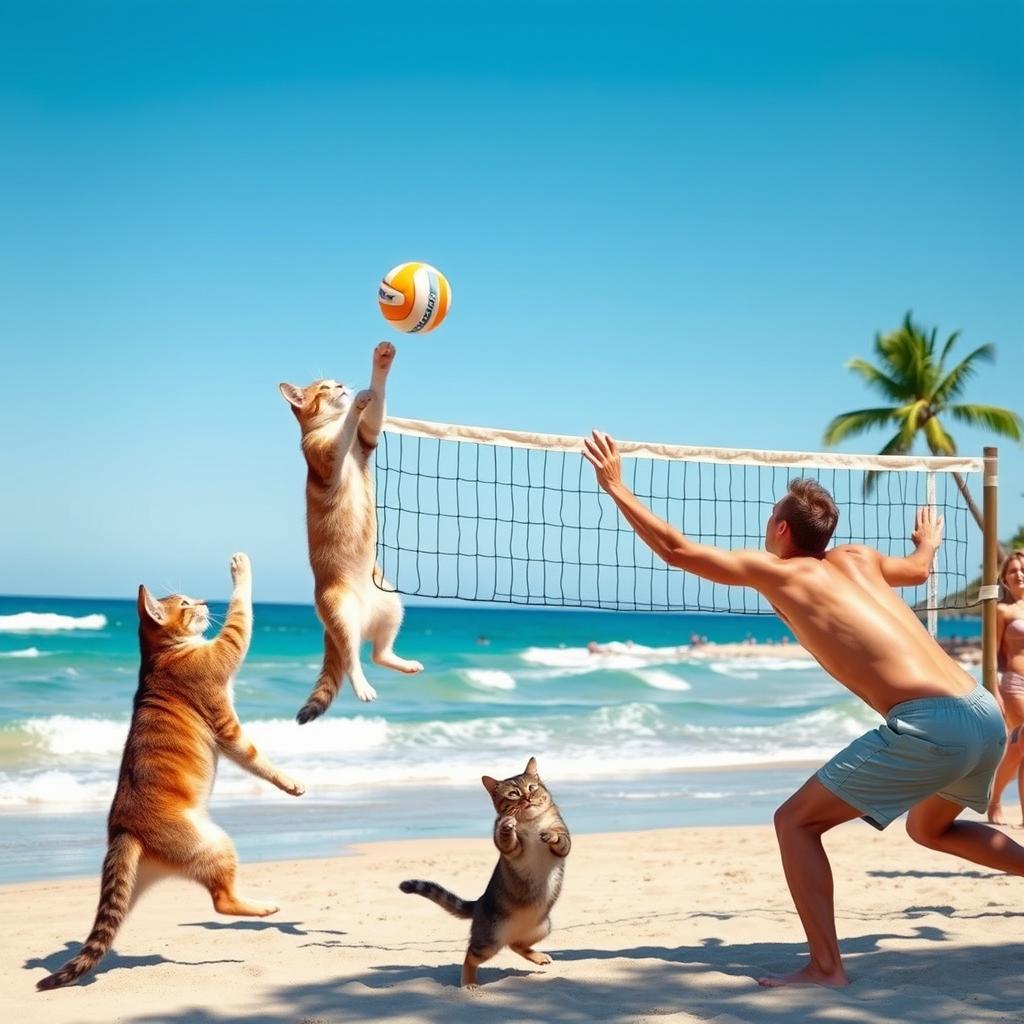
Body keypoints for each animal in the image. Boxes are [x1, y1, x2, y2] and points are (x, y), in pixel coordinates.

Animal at [33, 552, 303, 991]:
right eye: (187, 605)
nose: (205, 600)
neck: (163, 654)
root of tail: (124, 831)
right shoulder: (225, 705)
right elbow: (240, 617)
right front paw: (240, 569)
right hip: (211, 842)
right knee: (221, 901)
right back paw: (263, 908)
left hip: (138, 881)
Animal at [278, 337, 421, 720]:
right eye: (324, 388)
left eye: (335, 381)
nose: (342, 386)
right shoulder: (326, 454)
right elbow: (340, 435)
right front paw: (355, 403)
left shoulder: (367, 437)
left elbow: (373, 410)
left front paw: (381, 364)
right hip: (340, 613)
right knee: (353, 658)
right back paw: (363, 686)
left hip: (392, 604)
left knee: (377, 654)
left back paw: (402, 663)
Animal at [397, 757, 569, 987]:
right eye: (514, 794)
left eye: (532, 787)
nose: (528, 797)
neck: (531, 822)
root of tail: (478, 902)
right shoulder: (512, 850)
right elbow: (506, 839)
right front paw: (507, 825)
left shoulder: (563, 839)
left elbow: (561, 840)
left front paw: (550, 834)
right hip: (488, 940)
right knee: (471, 955)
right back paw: (468, 982)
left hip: (543, 927)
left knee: (516, 944)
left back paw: (539, 957)